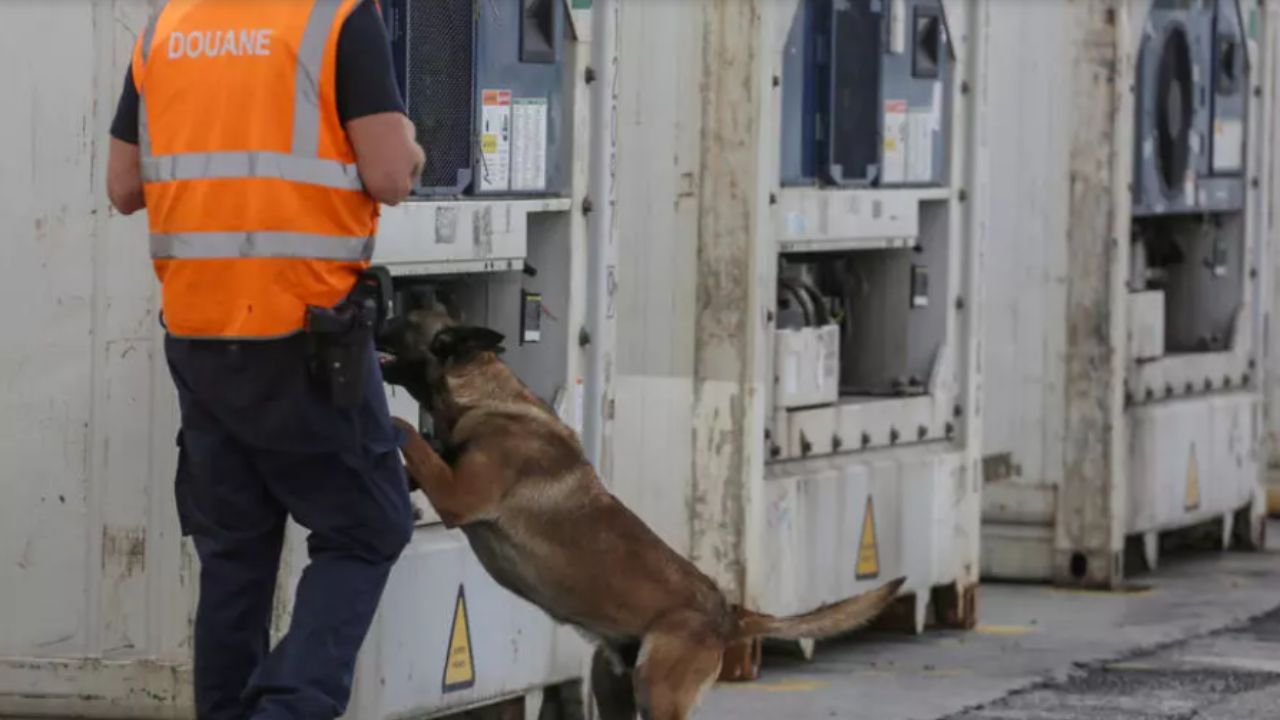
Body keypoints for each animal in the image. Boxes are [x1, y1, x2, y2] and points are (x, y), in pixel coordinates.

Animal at [373, 303, 906, 717]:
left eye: (402, 320)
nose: (371, 306)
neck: (485, 394)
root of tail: (728, 613)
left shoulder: (458, 496)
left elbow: (410, 431)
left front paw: (391, 421)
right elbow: (421, 451)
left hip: (657, 690)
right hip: (612, 686)